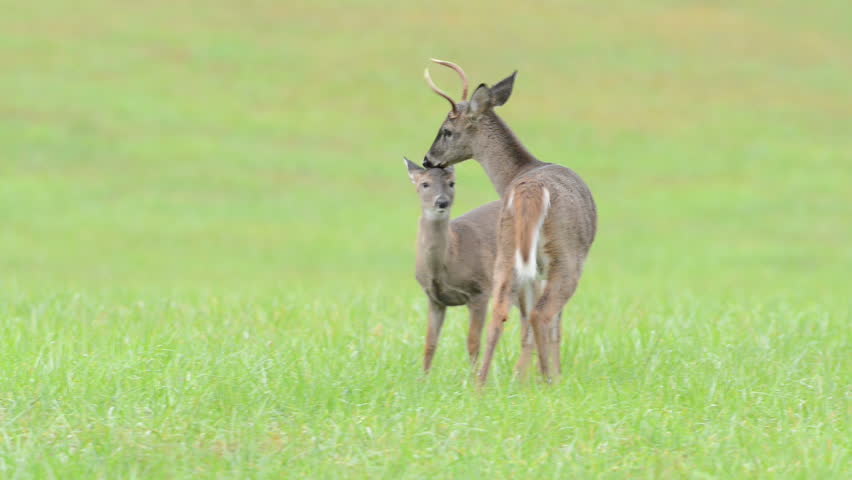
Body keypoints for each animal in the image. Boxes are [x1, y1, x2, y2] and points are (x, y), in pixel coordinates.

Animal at [404, 157, 508, 373]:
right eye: (424, 184)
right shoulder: (434, 298)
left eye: (452, 183)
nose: (442, 201)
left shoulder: (480, 290)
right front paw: (422, 378)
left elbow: (473, 342)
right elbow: (429, 343)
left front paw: (473, 377)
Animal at [420, 59, 597, 385]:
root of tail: (530, 191)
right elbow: (555, 325)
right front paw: (549, 374)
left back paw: (481, 384)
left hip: (507, 248)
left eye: (446, 130)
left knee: (501, 311)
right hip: (566, 254)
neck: (519, 171)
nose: (428, 159)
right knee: (544, 313)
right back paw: (548, 382)